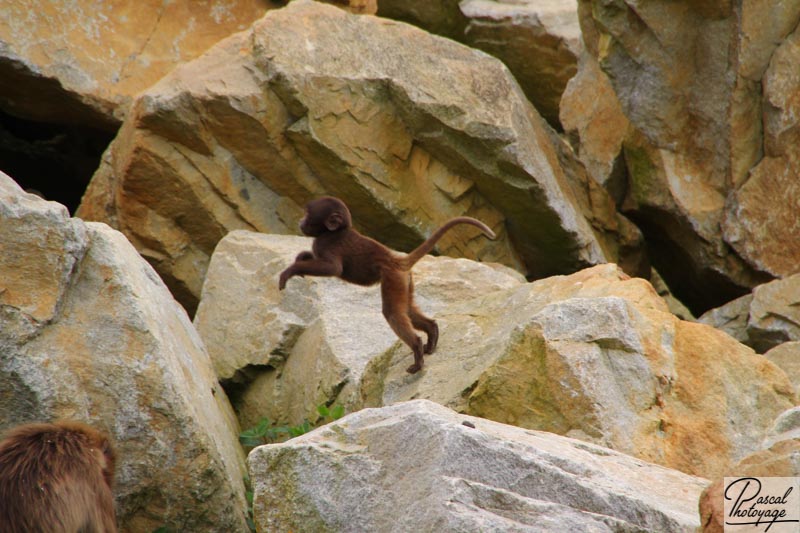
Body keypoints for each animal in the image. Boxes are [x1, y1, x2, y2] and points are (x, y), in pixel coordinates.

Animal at [278, 196, 496, 374]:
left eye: (308, 214)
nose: (300, 222)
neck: (337, 231)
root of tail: (397, 261)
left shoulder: (326, 244)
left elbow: (333, 268)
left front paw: (291, 270)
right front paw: (302, 258)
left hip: (393, 279)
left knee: (392, 312)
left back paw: (417, 351)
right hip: (405, 281)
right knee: (407, 310)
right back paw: (431, 334)